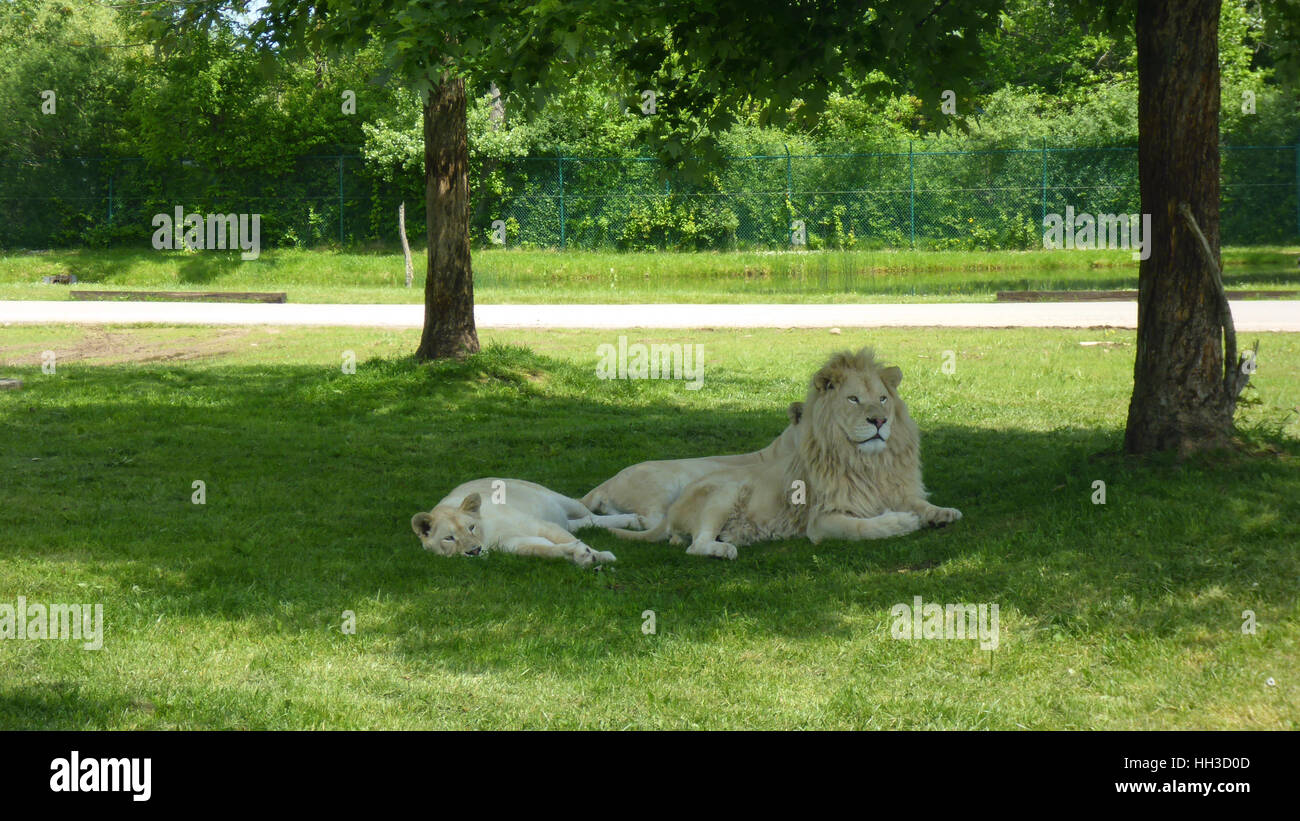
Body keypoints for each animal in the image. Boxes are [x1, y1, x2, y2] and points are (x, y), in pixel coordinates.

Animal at [410, 478, 639, 566]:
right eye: (449, 538)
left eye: (471, 527)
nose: (474, 551)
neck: (487, 535)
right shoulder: (514, 545)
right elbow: (547, 549)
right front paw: (578, 554)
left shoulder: (539, 525)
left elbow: (567, 538)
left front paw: (600, 555)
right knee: (585, 523)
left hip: (561, 500)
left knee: (592, 515)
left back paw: (634, 520)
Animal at [608, 345, 956, 558]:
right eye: (853, 399)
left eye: (883, 399)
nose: (880, 421)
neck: (869, 463)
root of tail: (672, 511)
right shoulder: (822, 520)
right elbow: (866, 528)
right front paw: (903, 522)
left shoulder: (895, 489)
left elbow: (919, 503)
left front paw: (942, 513)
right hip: (725, 491)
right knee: (696, 545)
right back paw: (723, 549)